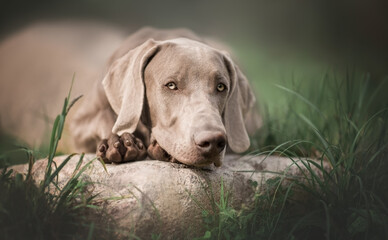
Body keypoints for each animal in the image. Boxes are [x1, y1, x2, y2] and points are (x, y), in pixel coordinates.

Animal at [69, 26, 260, 167]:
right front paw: (119, 141)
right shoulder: (78, 125)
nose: (213, 142)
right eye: (171, 85)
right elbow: (104, 116)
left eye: (221, 87)